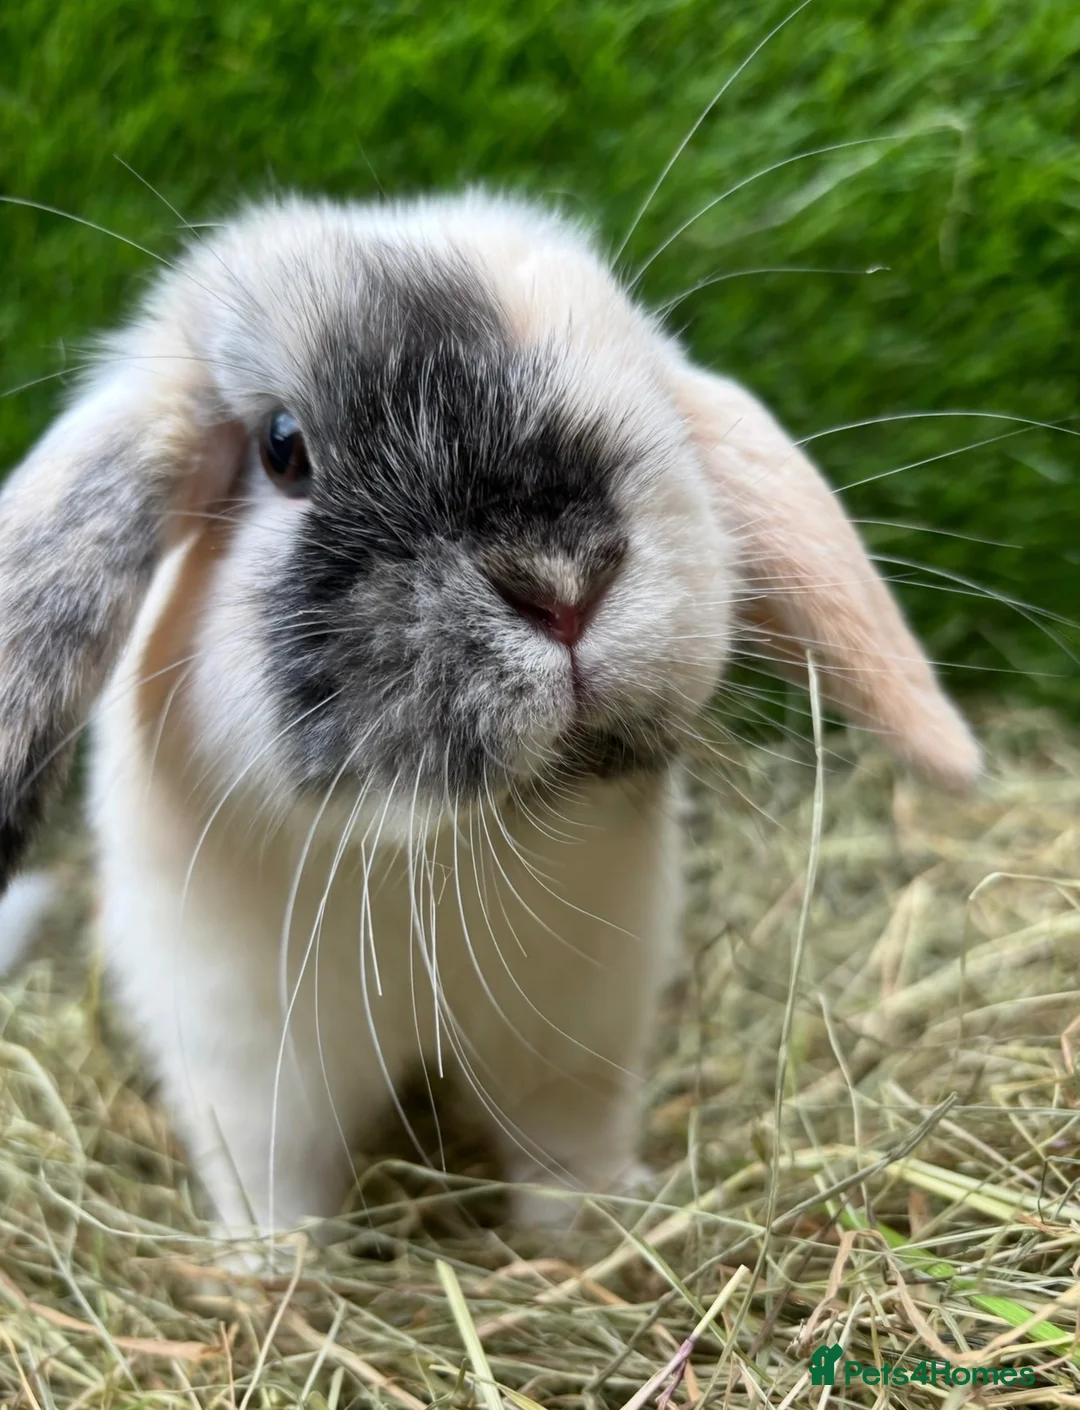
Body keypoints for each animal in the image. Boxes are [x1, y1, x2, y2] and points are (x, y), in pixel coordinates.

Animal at [0, 191, 979, 1237]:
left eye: (640, 378)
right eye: (282, 446)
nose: (562, 582)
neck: (432, 852)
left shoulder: (576, 1042)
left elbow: (566, 1151)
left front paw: (589, 1238)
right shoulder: (250, 1070)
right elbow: (278, 1187)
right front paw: (271, 1269)